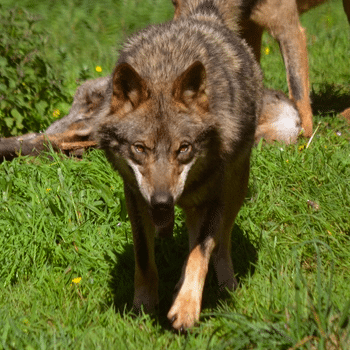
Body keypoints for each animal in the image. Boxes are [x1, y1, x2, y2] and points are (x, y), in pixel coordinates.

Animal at [95, 0, 262, 330]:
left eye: (183, 148)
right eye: (140, 148)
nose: (162, 201)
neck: (165, 71)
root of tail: (204, 14)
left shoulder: (215, 199)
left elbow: (201, 254)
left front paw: (185, 309)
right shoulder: (135, 197)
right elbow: (144, 259)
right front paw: (143, 307)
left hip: (235, 189)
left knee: (220, 244)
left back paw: (226, 284)